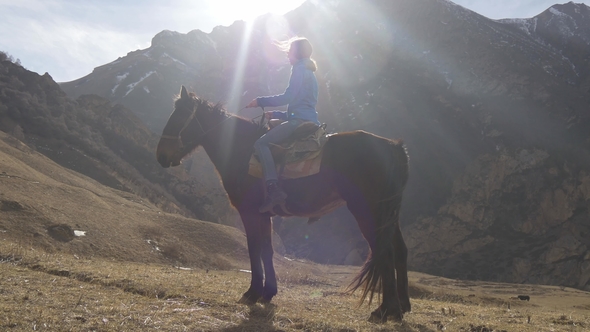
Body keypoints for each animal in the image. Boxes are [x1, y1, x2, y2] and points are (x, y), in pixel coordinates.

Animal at [157, 85, 412, 322]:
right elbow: (267, 250)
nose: (160, 156)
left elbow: (254, 248)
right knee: (400, 250)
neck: (241, 149)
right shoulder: (264, 215)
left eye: (178, 118)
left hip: (369, 212)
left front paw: (252, 293)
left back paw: (386, 310)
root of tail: (393, 146)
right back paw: (402, 307)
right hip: (389, 215)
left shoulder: (249, 213)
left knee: (384, 251)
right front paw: (268, 293)